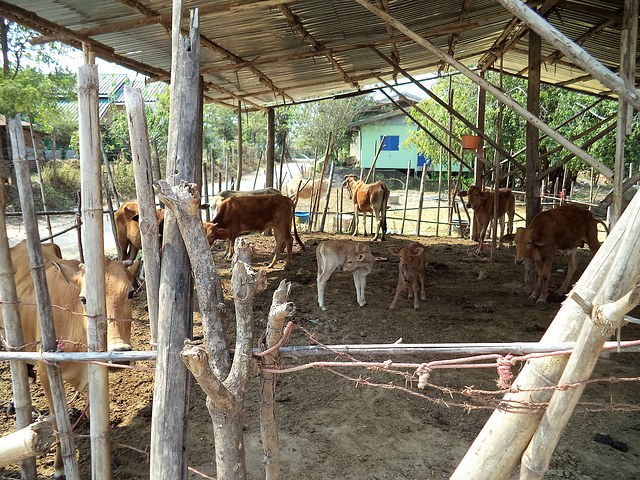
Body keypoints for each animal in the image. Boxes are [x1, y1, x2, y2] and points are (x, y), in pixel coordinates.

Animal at [4, 239, 140, 476]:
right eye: (83, 299)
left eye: (131, 293)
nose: (120, 355)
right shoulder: (46, 372)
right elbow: (58, 423)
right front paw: (59, 467)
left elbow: (96, 416)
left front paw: (109, 457)